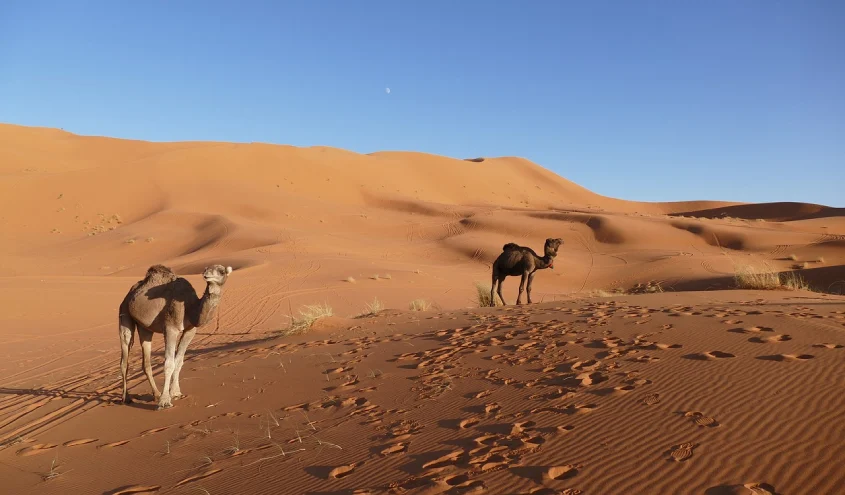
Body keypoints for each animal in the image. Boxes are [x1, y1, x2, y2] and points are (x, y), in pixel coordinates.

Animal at [117, 266, 231, 408]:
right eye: (207, 269)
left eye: (221, 271)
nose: (206, 274)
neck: (190, 307)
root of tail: (129, 294)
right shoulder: (170, 328)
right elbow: (169, 363)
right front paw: (165, 401)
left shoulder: (190, 330)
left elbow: (179, 361)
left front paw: (176, 393)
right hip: (124, 312)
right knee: (124, 357)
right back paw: (126, 397)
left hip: (145, 327)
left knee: (146, 361)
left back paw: (156, 394)